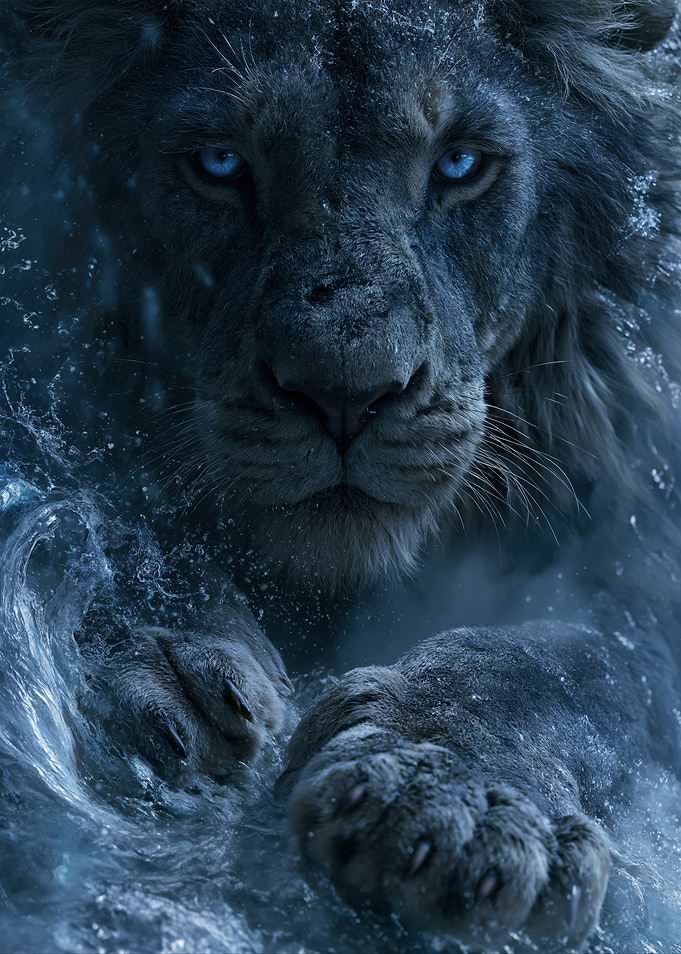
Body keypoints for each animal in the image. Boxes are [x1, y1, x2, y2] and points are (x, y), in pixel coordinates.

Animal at [3, 0, 681, 948]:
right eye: (219, 164)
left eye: (460, 165)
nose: (346, 395)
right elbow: (83, 509)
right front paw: (171, 661)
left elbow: (565, 665)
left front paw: (446, 799)